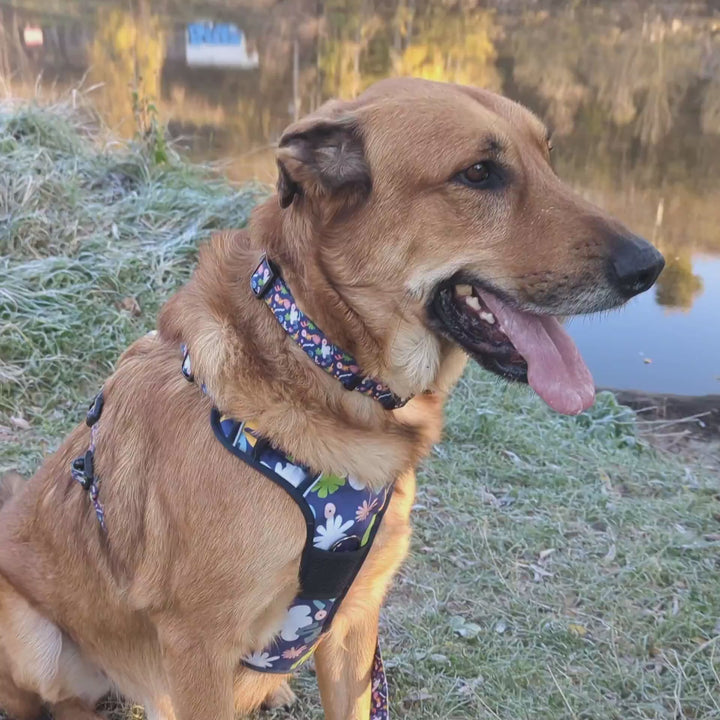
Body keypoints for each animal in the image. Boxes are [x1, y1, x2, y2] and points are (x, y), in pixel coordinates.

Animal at [1, 79, 664, 720]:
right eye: (479, 173)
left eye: (548, 158)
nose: (651, 266)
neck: (320, 362)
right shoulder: (199, 647)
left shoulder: (353, 623)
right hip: (33, 634)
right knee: (58, 702)